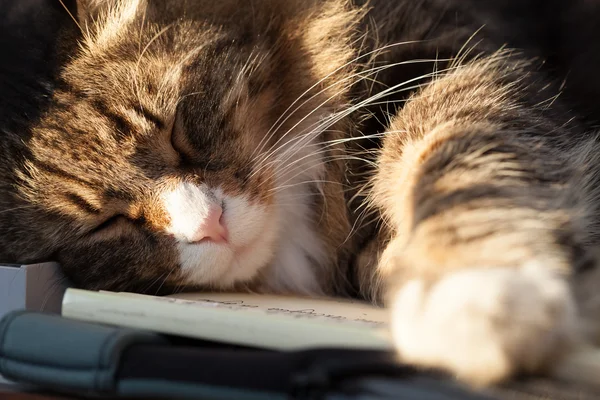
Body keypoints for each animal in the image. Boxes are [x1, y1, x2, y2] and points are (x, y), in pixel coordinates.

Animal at [1, 0, 600, 388]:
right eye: (106, 224)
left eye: (175, 134)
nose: (209, 225)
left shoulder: (449, 58)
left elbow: (456, 154)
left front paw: (474, 291)